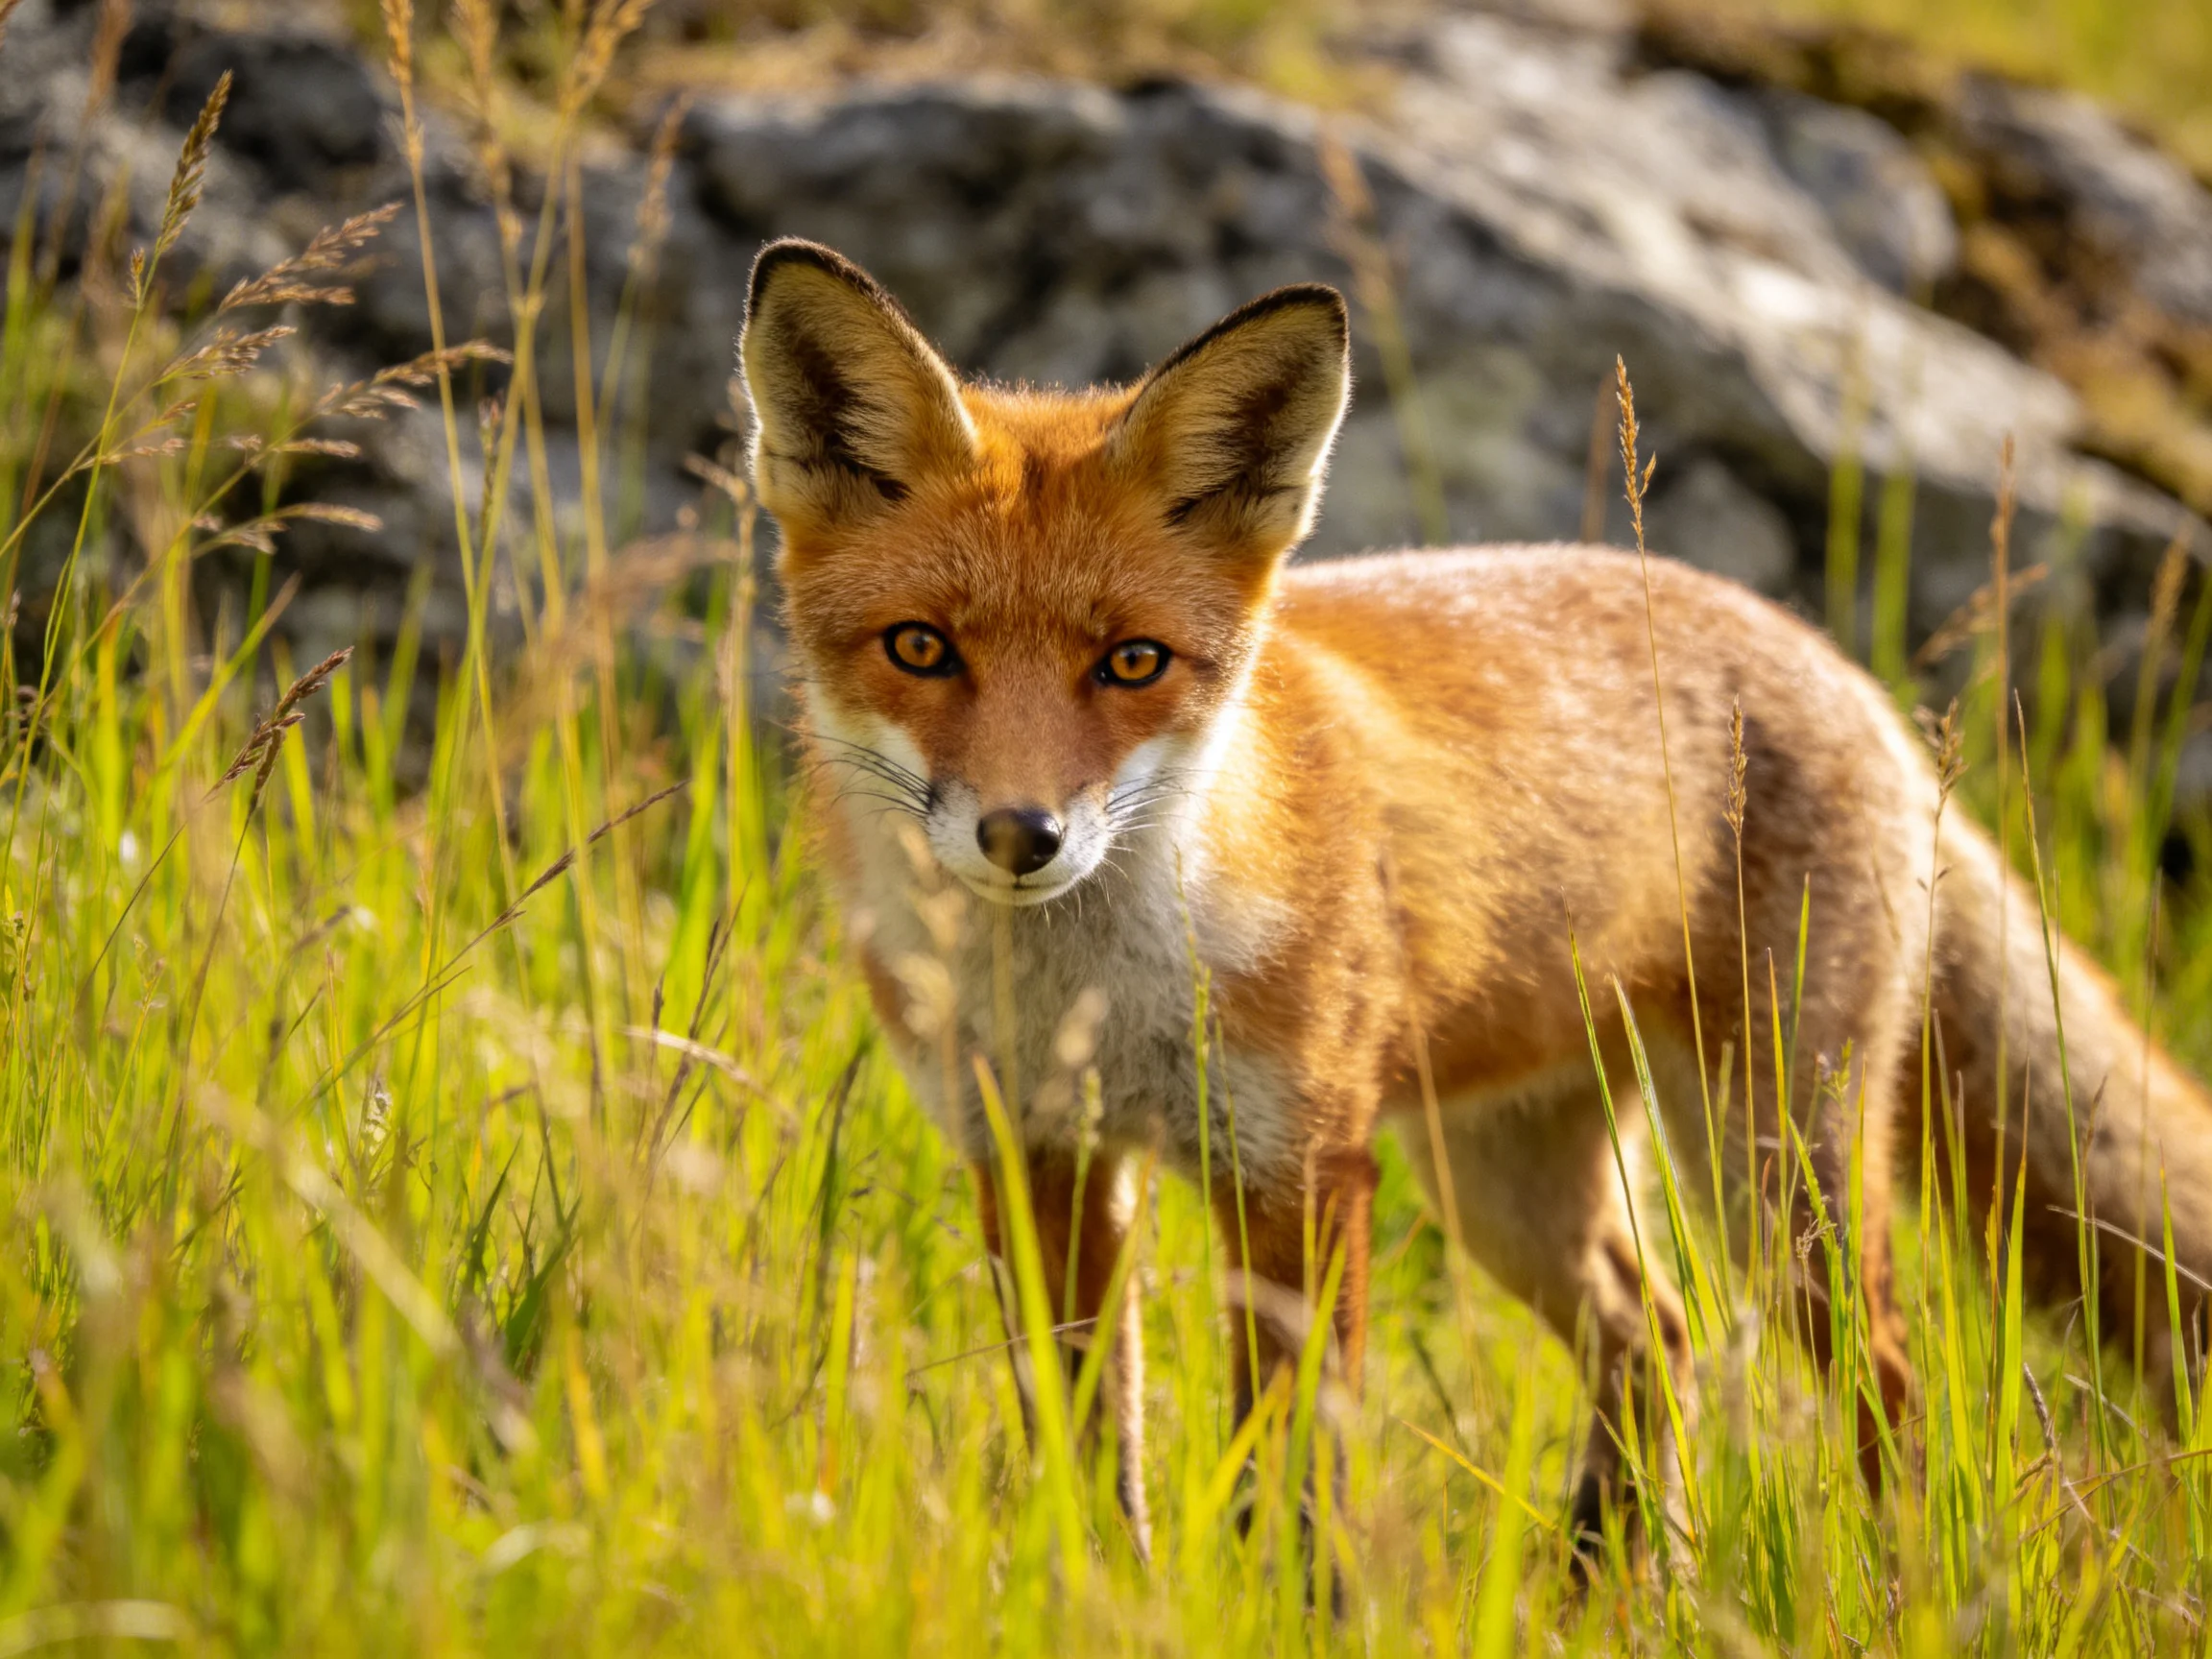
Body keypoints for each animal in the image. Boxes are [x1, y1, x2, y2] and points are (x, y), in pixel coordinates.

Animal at [738, 235, 2212, 1564]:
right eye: (922, 648)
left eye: (1133, 663)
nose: (1022, 834)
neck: (1092, 995)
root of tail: (1841, 667)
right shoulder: (1035, 1157)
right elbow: (1088, 1444)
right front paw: (1098, 1591)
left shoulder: (1301, 1168)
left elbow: (1292, 1476)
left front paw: (1285, 1611)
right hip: (1508, 1183)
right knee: (1652, 1332)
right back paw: (1613, 1587)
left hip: (1772, 1172)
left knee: (1888, 1380)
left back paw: (1891, 1582)